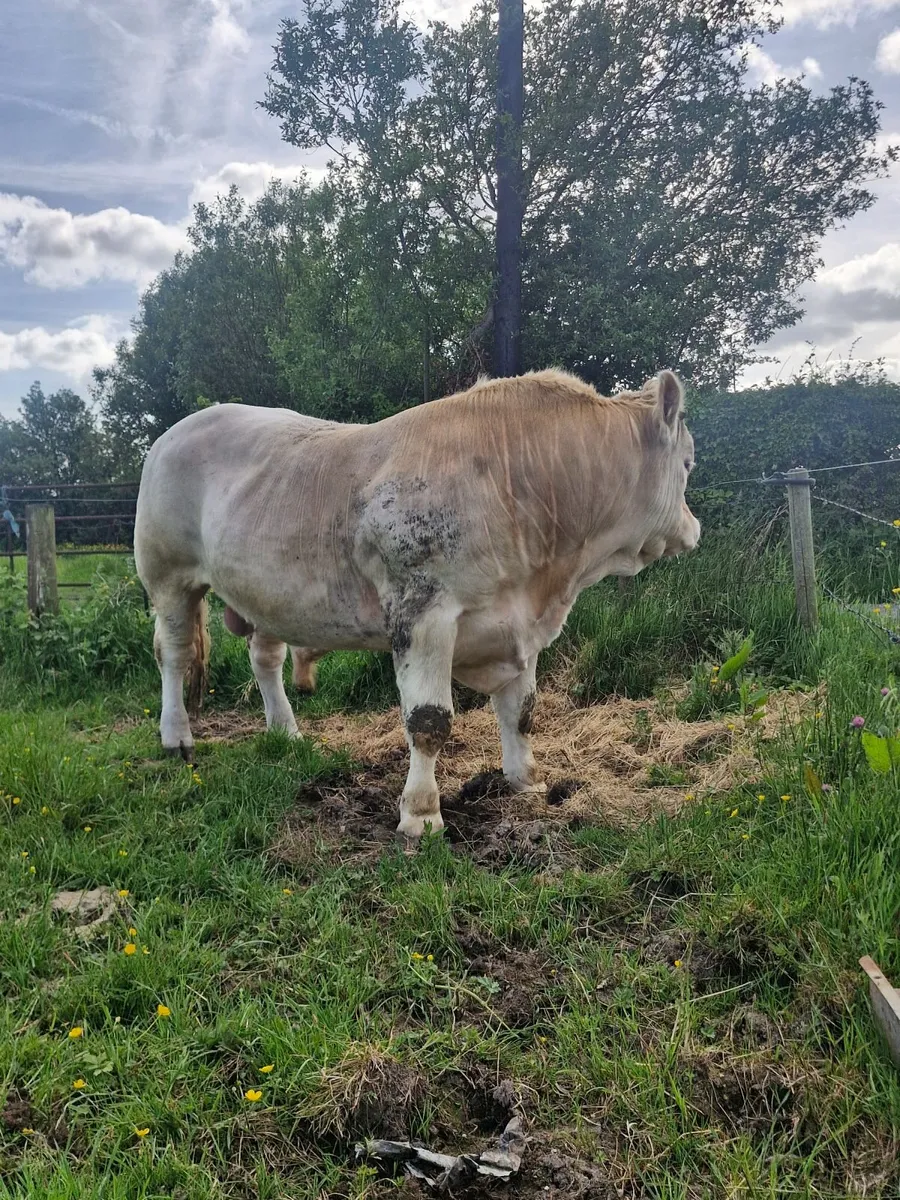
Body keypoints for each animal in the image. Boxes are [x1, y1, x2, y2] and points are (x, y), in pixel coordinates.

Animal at [134, 368, 700, 837]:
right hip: (167, 576)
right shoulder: (423, 613)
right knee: (174, 655)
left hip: (265, 591)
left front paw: (527, 781)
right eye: (689, 463)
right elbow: (429, 722)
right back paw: (176, 736)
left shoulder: (521, 626)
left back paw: (287, 732)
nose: (693, 528)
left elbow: (522, 712)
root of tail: (173, 432)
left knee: (265, 659)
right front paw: (422, 814)